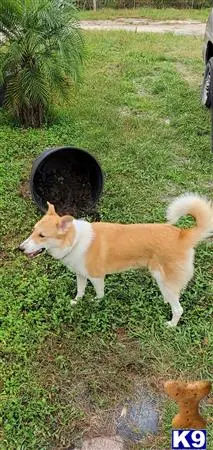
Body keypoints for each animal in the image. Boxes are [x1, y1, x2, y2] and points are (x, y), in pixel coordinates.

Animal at [19, 193, 212, 326]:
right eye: (33, 230)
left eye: (42, 235)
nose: (20, 248)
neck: (74, 241)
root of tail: (182, 235)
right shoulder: (81, 275)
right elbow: (80, 291)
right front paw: (76, 302)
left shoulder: (97, 277)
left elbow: (99, 294)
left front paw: (95, 303)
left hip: (164, 279)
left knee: (178, 308)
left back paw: (171, 325)